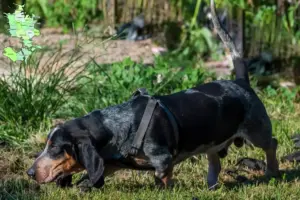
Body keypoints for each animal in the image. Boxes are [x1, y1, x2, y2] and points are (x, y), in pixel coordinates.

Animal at [27, 0, 280, 191]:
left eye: (55, 148)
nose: (29, 172)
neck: (117, 125)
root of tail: (241, 81)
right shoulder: (113, 161)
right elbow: (100, 172)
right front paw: (85, 185)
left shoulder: (163, 161)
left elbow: (162, 178)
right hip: (211, 143)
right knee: (215, 163)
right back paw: (211, 186)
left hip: (257, 132)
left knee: (272, 144)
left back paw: (272, 172)